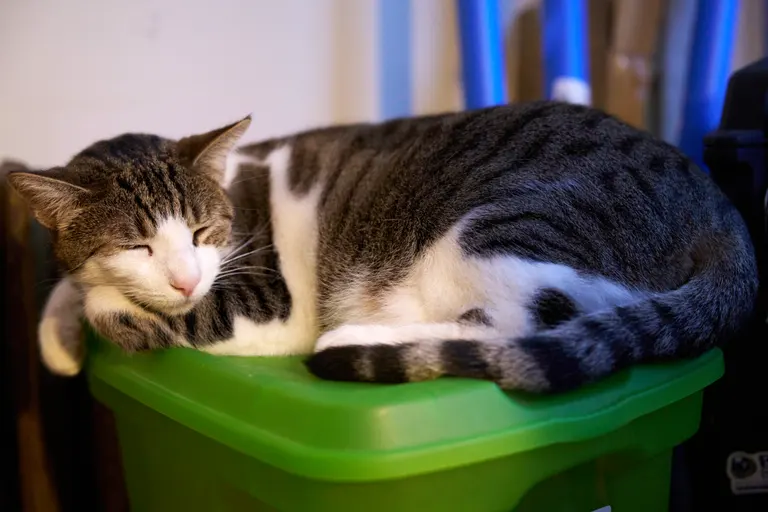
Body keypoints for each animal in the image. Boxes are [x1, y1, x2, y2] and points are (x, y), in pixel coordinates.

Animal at [9, 102, 760, 394]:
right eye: (138, 244)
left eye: (201, 234)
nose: (187, 279)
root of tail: (711, 196)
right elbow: (71, 283)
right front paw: (57, 337)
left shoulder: (266, 303)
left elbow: (126, 307)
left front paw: (103, 313)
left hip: (504, 227)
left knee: (516, 329)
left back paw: (355, 339)